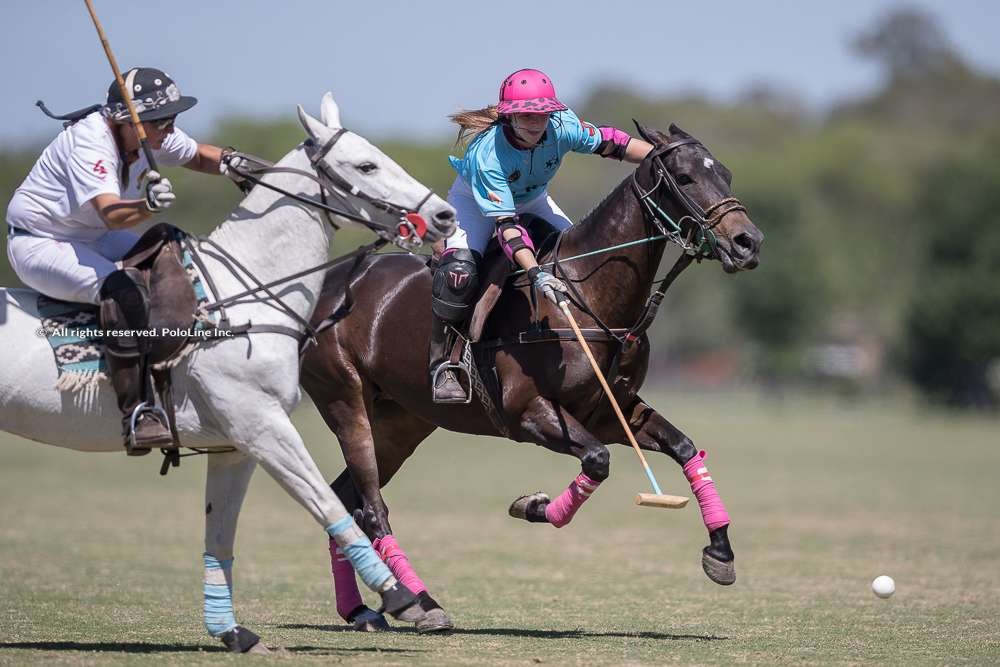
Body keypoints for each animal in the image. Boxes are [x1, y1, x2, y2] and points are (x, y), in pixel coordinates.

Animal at [0, 91, 458, 648]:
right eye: (366, 164)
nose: (443, 215)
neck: (250, 294)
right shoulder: (262, 427)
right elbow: (326, 504)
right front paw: (403, 599)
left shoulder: (233, 445)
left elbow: (220, 536)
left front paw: (232, 631)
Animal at [300, 124, 760, 632]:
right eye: (684, 177)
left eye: (725, 173)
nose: (748, 242)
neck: (587, 297)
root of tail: (326, 284)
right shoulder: (527, 413)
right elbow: (598, 460)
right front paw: (533, 506)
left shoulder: (610, 410)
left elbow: (683, 448)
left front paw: (720, 552)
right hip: (346, 402)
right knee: (372, 507)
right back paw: (422, 603)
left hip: (401, 424)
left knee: (345, 499)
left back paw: (360, 609)